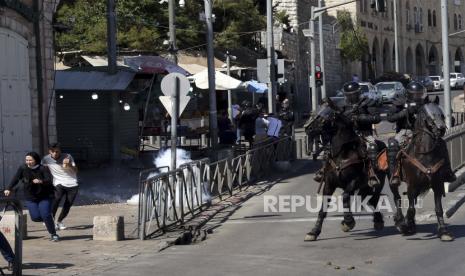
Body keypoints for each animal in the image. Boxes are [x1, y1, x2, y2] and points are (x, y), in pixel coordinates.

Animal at [302, 102, 386, 242]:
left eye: (323, 117)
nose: (307, 128)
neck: (342, 154)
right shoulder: (329, 184)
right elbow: (323, 208)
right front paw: (314, 231)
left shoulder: (354, 181)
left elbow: (345, 197)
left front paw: (348, 221)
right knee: (366, 199)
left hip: (378, 183)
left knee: (374, 199)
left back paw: (378, 220)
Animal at [392, 96, 454, 242]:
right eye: (429, 115)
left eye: (442, 114)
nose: (441, 129)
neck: (424, 153)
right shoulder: (412, 186)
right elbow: (410, 209)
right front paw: (406, 225)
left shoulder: (437, 184)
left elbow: (438, 209)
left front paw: (443, 231)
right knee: (397, 197)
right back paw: (401, 221)